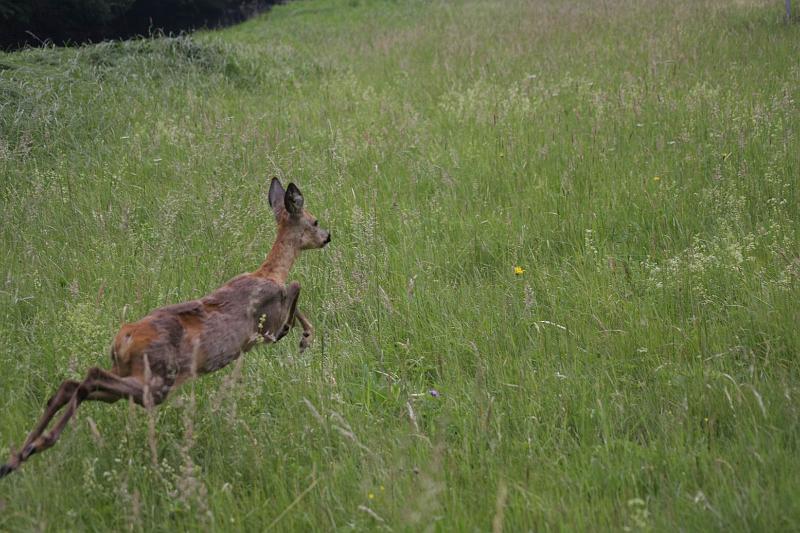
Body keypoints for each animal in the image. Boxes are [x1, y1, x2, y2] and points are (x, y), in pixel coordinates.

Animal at [0, 176, 332, 478]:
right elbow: (295, 289)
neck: (270, 271)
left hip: (130, 376)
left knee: (73, 384)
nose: (328, 235)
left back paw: (17, 457)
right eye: (314, 220)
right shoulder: (265, 324)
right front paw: (303, 336)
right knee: (90, 378)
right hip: (158, 379)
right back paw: (40, 444)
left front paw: (306, 335)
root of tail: (123, 339)